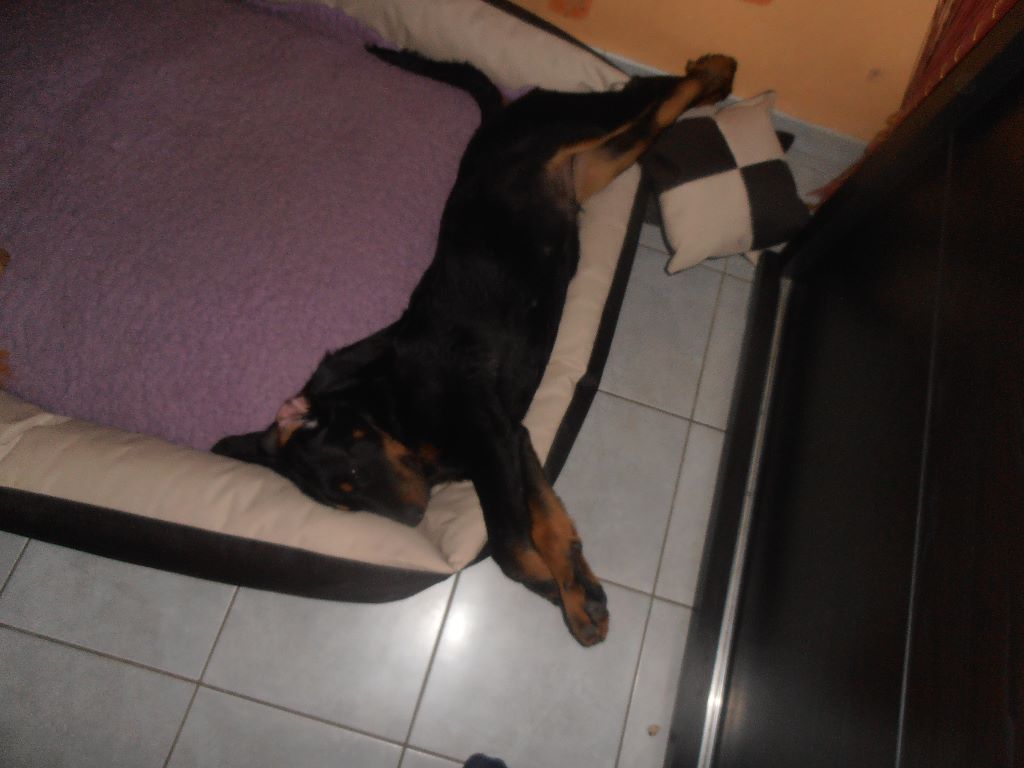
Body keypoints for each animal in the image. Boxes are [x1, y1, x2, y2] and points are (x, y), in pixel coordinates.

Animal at [213, 48, 737, 646]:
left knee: (650, 95)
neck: (389, 407)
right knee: (650, 118)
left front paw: (551, 584)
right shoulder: (516, 437)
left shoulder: (489, 439)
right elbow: (547, 523)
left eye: (352, 476)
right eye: (342, 503)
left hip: (580, 126)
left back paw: (714, 72)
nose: (414, 519)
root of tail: (495, 118)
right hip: (597, 163)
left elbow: (509, 542)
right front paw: (578, 596)